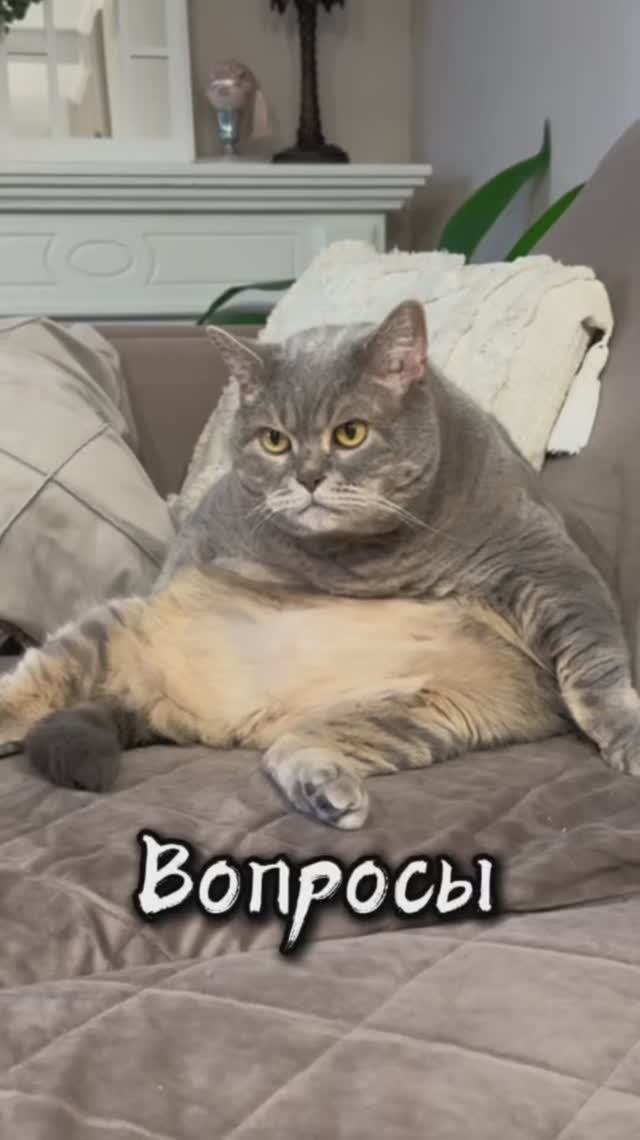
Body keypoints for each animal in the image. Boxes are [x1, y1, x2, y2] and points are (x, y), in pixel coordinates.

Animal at [1, 299, 639, 829]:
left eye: (350, 433)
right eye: (274, 440)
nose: (308, 477)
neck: (371, 554)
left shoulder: (548, 562)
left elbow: (596, 659)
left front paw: (625, 733)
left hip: (419, 711)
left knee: (288, 749)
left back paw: (323, 790)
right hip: (104, 632)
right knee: (24, 692)